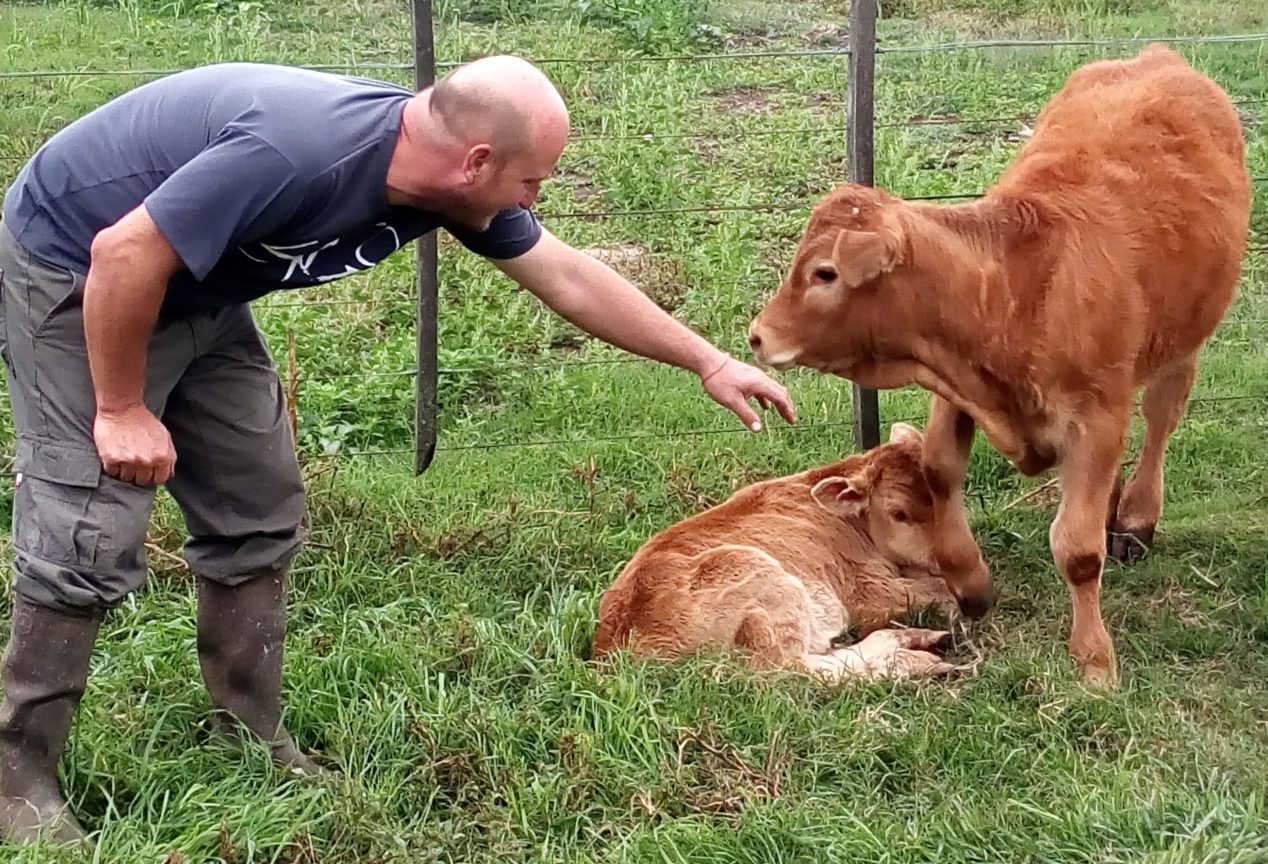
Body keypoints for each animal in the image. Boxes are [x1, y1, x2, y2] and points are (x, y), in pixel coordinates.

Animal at [590, 423, 958, 680]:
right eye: (898, 513)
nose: (948, 559)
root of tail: (615, 648)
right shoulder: (869, 590)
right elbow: (940, 594)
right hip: (765, 585)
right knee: (794, 669)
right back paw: (915, 660)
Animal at [740, 43, 1247, 685]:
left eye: (825, 272)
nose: (758, 336)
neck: (1016, 289)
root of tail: (1158, 56)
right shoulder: (956, 392)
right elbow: (941, 477)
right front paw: (973, 587)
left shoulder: (1097, 414)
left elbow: (1077, 549)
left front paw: (1094, 661)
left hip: (1183, 343)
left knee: (1160, 419)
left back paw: (1134, 517)